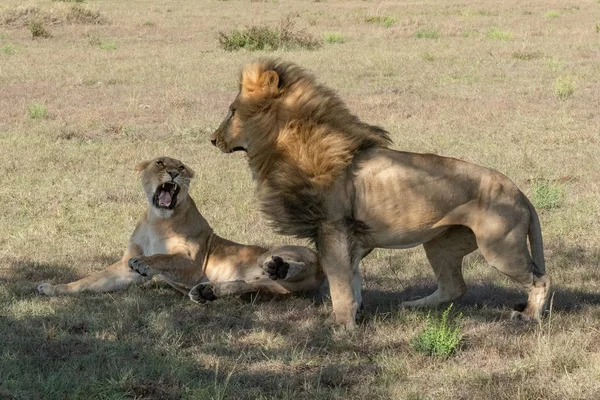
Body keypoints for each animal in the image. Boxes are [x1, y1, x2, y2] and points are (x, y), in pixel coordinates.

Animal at [37, 156, 324, 300]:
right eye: (161, 163)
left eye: (182, 167)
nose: (174, 173)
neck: (158, 218)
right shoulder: (124, 267)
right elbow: (91, 280)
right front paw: (54, 289)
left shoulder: (194, 265)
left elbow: (164, 257)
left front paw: (146, 263)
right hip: (273, 287)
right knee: (247, 284)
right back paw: (208, 292)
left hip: (283, 255)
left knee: (285, 264)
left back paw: (277, 266)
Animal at [211, 58, 552, 328]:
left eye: (232, 111)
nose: (213, 139)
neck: (284, 148)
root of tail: (520, 193)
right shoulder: (348, 235)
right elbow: (351, 278)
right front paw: (352, 314)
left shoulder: (332, 227)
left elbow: (338, 280)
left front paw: (342, 325)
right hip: (441, 244)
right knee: (454, 286)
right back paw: (413, 306)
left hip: (499, 247)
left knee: (541, 278)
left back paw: (528, 316)